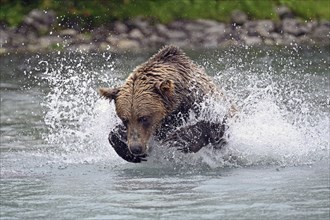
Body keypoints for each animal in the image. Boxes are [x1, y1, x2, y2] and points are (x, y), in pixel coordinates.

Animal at [99, 44, 231, 162]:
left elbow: (217, 125)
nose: (135, 148)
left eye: (144, 118)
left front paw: (178, 139)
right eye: (124, 119)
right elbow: (114, 133)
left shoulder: (202, 103)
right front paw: (127, 151)